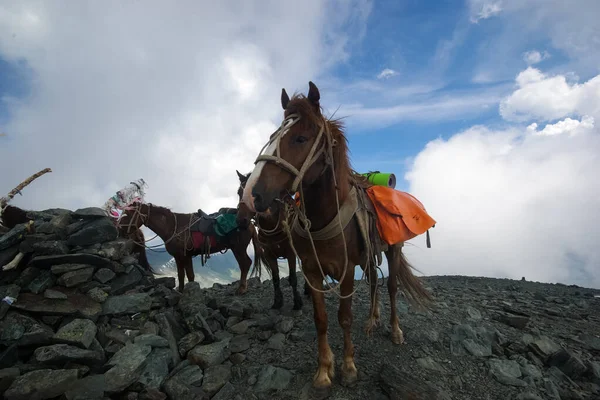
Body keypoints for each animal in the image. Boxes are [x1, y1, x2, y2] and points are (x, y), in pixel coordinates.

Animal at [116, 202, 258, 292]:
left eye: (128, 214)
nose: (119, 228)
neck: (174, 226)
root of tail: (250, 223)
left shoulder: (185, 255)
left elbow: (189, 275)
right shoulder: (180, 257)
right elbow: (182, 275)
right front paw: (182, 290)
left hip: (238, 249)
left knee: (245, 264)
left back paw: (241, 289)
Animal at [234, 170, 308, 310]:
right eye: (239, 192)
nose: (241, 221)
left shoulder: (291, 253)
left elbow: (293, 277)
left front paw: (297, 302)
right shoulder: (269, 255)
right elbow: (275, 279)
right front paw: (277, 302)